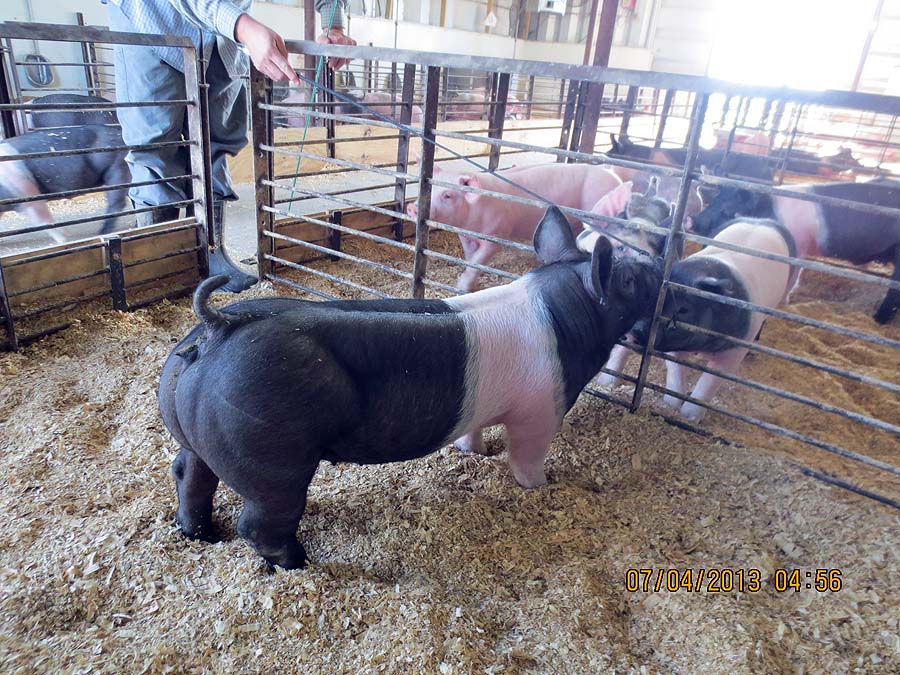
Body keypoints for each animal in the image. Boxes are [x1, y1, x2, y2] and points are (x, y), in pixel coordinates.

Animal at [0, 125, 130, 242]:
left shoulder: (26, 195)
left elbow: (43, 219)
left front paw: (64, 239)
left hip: (118, 169)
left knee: (116, 203)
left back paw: (101, 233)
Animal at [158, 206, 663, 569]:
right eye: (628, 278)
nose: (659, 264)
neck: (561, 313)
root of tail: (220, 324)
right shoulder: (540, 410)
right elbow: (527, 455)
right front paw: (540, 486)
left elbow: (473, 434)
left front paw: (474, 453)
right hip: (273, 459)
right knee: (259, 522)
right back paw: (301, 564)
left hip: (194, 432)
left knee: (189, 474)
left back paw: (198, 534)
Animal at [406, 162, 622, 291]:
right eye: (430, 188)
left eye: (448, 195)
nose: (412, 207)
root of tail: (613, 175)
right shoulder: (465, 235)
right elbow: (470, 258)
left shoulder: (497, 235)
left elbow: (479, 260)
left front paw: (462, 287)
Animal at [691, 178, 900, 324]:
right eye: (712, 203)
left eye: (728, 211)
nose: (693, 221)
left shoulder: (798, 247)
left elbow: (793, 278)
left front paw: (783, 302)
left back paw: (878, 320)